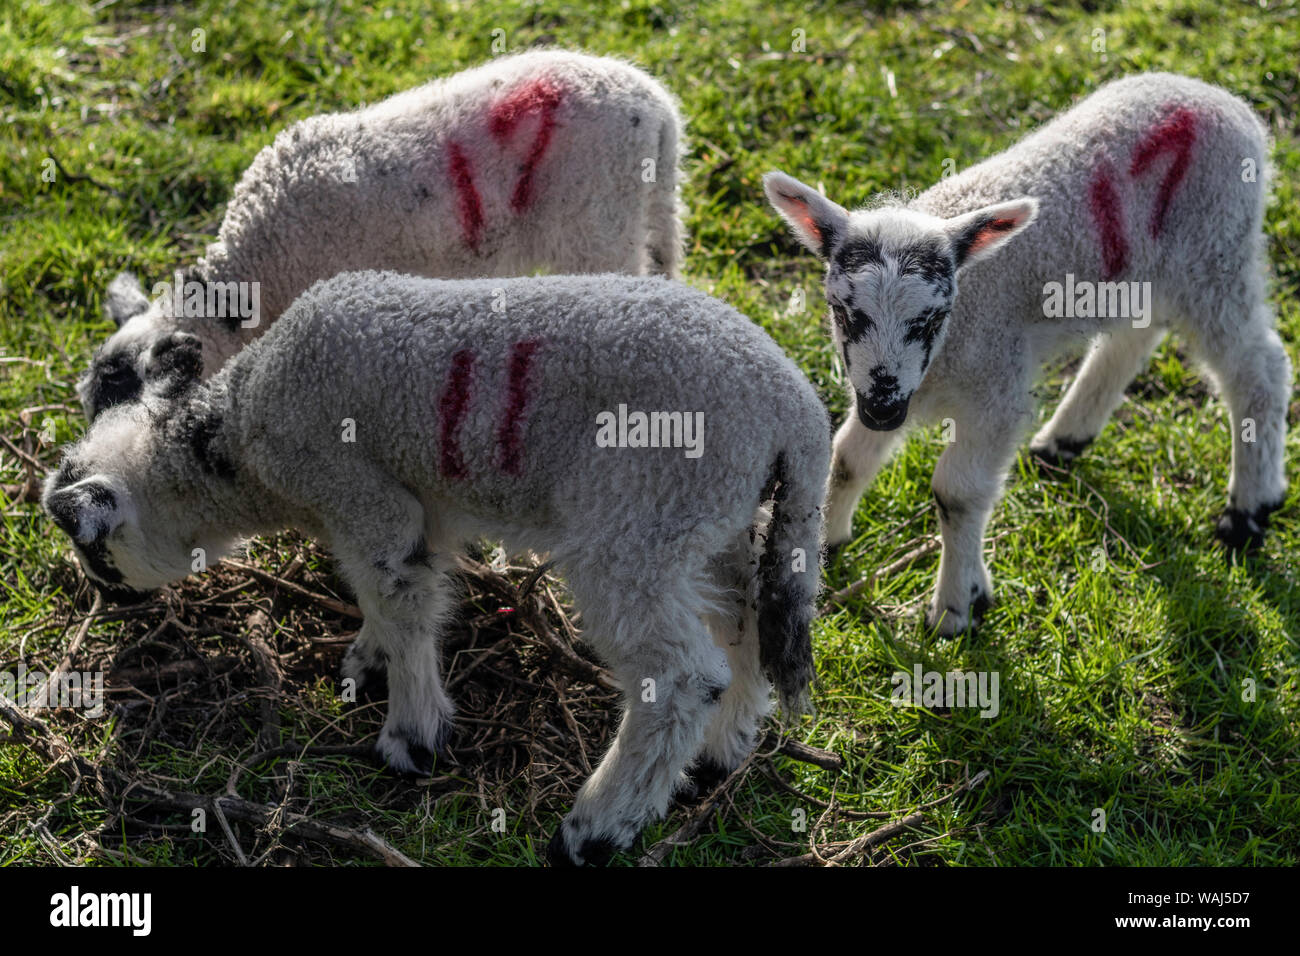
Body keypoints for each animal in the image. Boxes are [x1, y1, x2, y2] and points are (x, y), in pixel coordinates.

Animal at [45, 267, 832, 868]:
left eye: (91, 547)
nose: (112, 601)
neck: (237, 442)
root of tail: (797, 413)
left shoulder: (361, 494)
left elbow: (401, 604)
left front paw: (411, 738)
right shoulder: (426, 506)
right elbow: (401, 592)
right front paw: (366, 661)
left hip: (639, 518)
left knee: (679, 677)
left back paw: (593, 830)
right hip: (710, 517)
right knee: (745, 620)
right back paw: (719, 754)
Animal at [764, 72, 1284, 634]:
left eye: (933, 317)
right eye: (843, 311)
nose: (883, 410)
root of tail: (1224, 101)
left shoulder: (994, 385)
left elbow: (957, 492)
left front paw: (956, 608)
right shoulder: (891, 385)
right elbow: (847, 459)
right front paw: (829, 540)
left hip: (1215, 252)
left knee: (1260, 367)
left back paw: (1248, 512)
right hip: (1143, 267)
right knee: (1133, 336)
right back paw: (1065, 439)